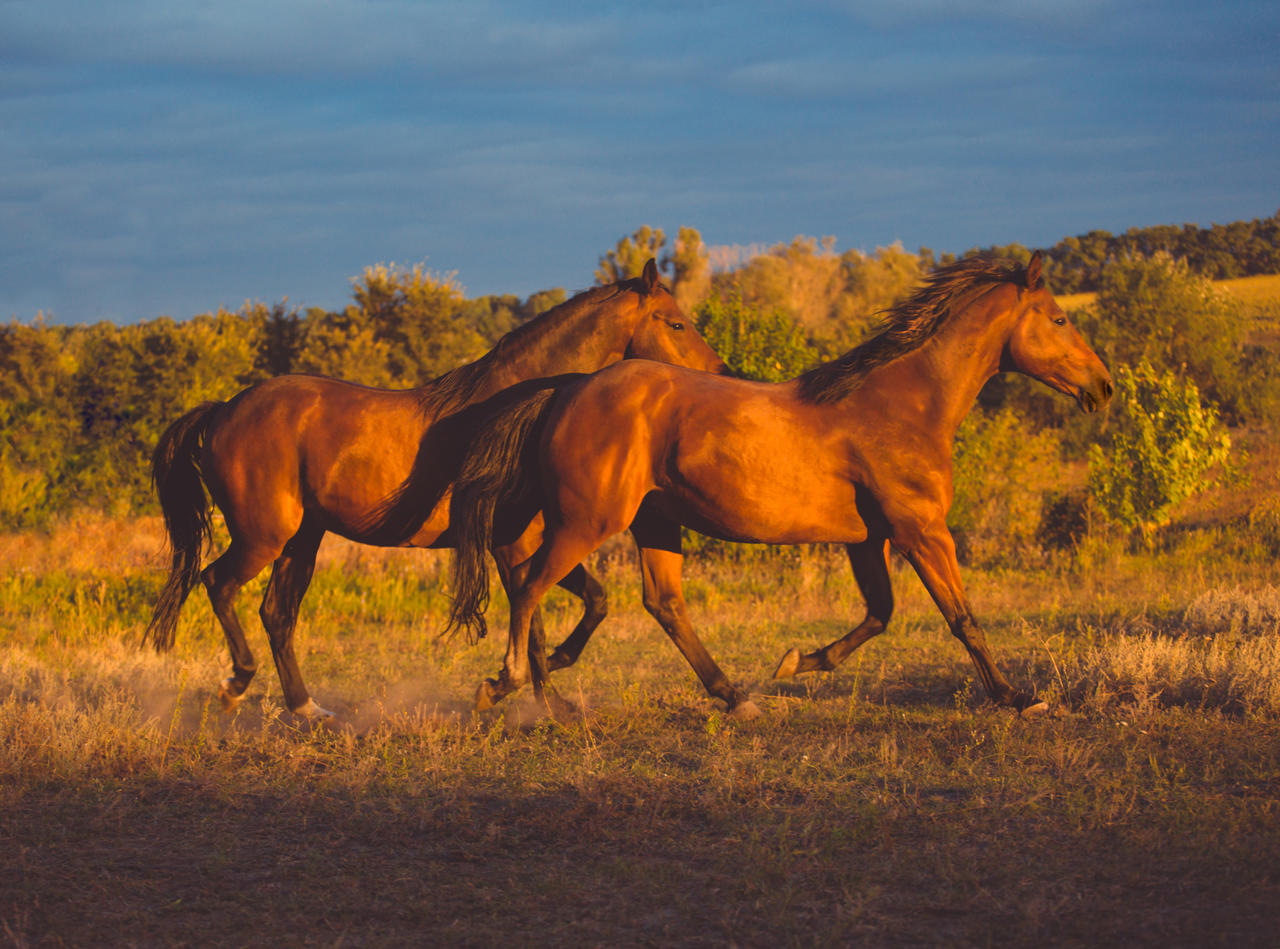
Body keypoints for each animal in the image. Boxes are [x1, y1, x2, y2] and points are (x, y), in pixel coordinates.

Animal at [144, 258, 727, 717]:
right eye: (677, 322)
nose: (723, 373)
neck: (517, 411)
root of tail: (224, 410)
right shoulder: (512, 541)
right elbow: (534, 612)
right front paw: (540, 698)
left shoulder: (533, 539)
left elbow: (590, 601)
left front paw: (549, 685)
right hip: (263, 536)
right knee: (218, 583)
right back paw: (236, 685)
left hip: (301, 541)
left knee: (276, 614)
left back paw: (308, 709)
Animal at [448, 252, 1111, 717]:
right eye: (1060, 317)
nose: (1103, 387)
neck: (902, 404)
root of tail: (567, 389)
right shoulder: (922, 530)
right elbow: (961, 617)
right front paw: (1019, 697)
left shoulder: (867, 540)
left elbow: (881, 614)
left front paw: (796, 662)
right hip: (586, 522)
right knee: (529, 586)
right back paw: (515, 686)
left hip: (655, 522)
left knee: (662, 604)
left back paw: (736, 698)